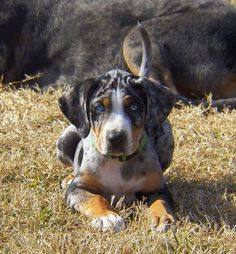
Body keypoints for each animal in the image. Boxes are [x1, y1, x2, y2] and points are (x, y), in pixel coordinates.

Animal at [56, 25, 175, 232]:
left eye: (134, 107)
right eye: (99, 107)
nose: (116, 137)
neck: (119, 163)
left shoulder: (158, 188)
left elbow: (161, 202)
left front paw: (163, 218)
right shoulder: (77, 190)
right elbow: (95, 199)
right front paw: (107, 217)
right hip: (65, 139)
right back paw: (69, 177)